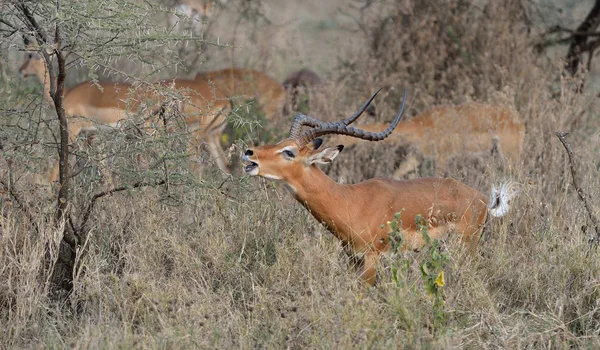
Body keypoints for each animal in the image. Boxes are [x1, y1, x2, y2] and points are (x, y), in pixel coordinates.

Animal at [18, 53, 230, 183]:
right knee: (225, 168)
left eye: (31, 55)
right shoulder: (94, 136)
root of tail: (224, 101)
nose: (21, 71)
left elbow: (59, 161)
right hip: (209, 136)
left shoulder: (74, 129)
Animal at [328, 102, 524, 176]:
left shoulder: (442, 159)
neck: (419, 127)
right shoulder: (416, 157)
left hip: (509, 155)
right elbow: (396, 174)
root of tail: (515, 115)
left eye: (338, 132)